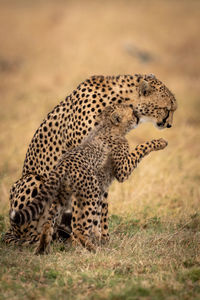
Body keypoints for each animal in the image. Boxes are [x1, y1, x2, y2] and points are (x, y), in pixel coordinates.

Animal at [4, 74, 177, 245]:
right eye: (166, 109)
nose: (169, 125)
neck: (120, 99)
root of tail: (11, 231)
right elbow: (85, 206)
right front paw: (81, 238)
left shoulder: (104, 168)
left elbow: (102, 205)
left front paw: (102, 237)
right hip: (32, 180)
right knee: (28, 234)